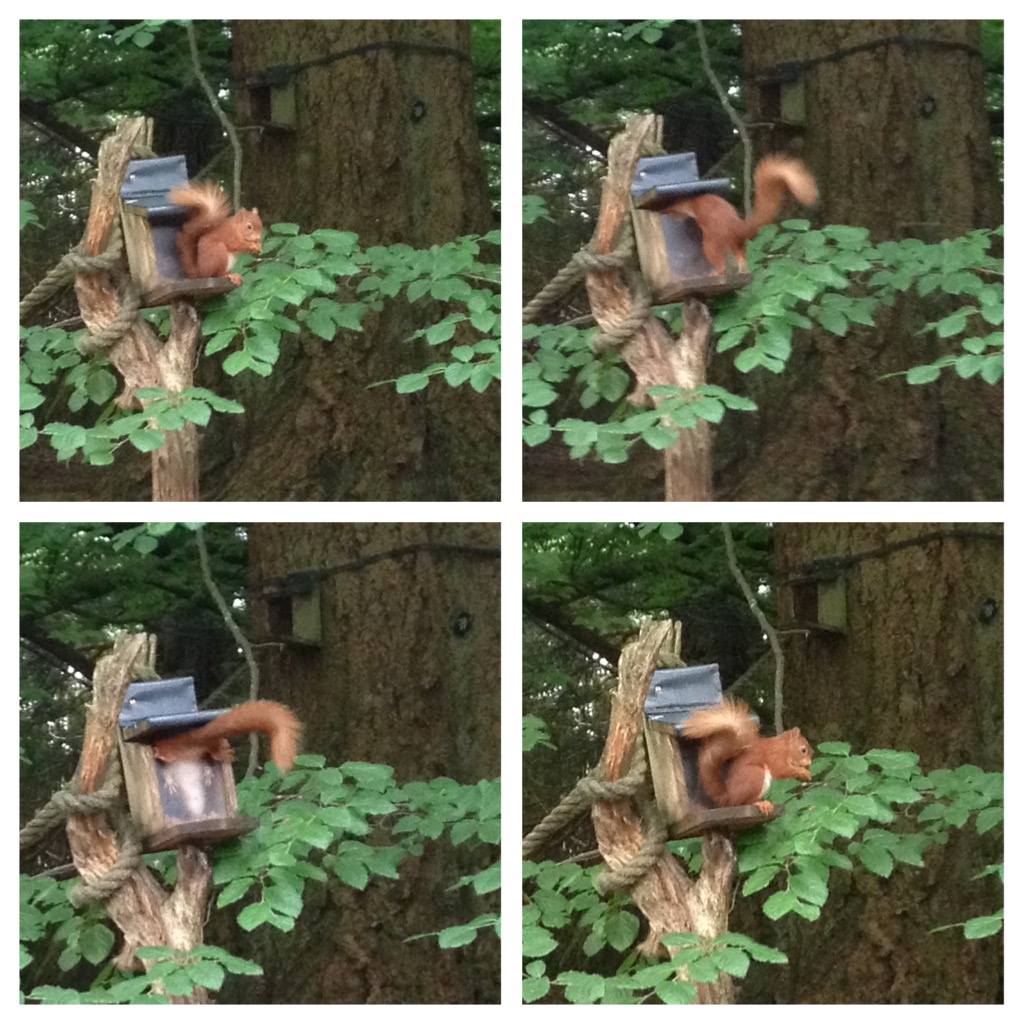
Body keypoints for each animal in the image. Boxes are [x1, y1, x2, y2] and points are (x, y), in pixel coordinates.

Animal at [660, 155, 818, 277]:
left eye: (670, 205)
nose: (664, 211)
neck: (692, 199)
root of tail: (735, 225)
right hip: (735, 243)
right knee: (741, 256)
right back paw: (743, 271)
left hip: (712, 242)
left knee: (720, 263)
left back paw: (717, 272)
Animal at [682, 698, 812, 815]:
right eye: (803, 750)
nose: (810, 763)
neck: (784, 747)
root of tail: (729, 798)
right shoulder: (775, 756)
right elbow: (781, 770)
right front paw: (803, 772)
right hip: (754, 774)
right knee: (745, 802)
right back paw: (761, 803)